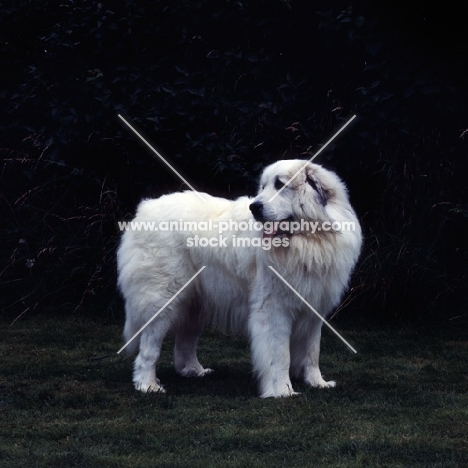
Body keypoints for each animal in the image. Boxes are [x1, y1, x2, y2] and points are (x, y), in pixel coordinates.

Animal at [117, 160, 362, 398]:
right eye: (262, 187)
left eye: (280, 185)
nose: (255, 206)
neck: (308, 241)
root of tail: (145, 208)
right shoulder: (274, 309)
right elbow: (280, 354)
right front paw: (283, 390)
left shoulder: (313, 307)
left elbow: (312, 352)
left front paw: (317, 383)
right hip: (163, 298)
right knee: (149, 347)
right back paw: (147, 384)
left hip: (197, 303)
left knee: (185, 341)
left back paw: (194, 370)